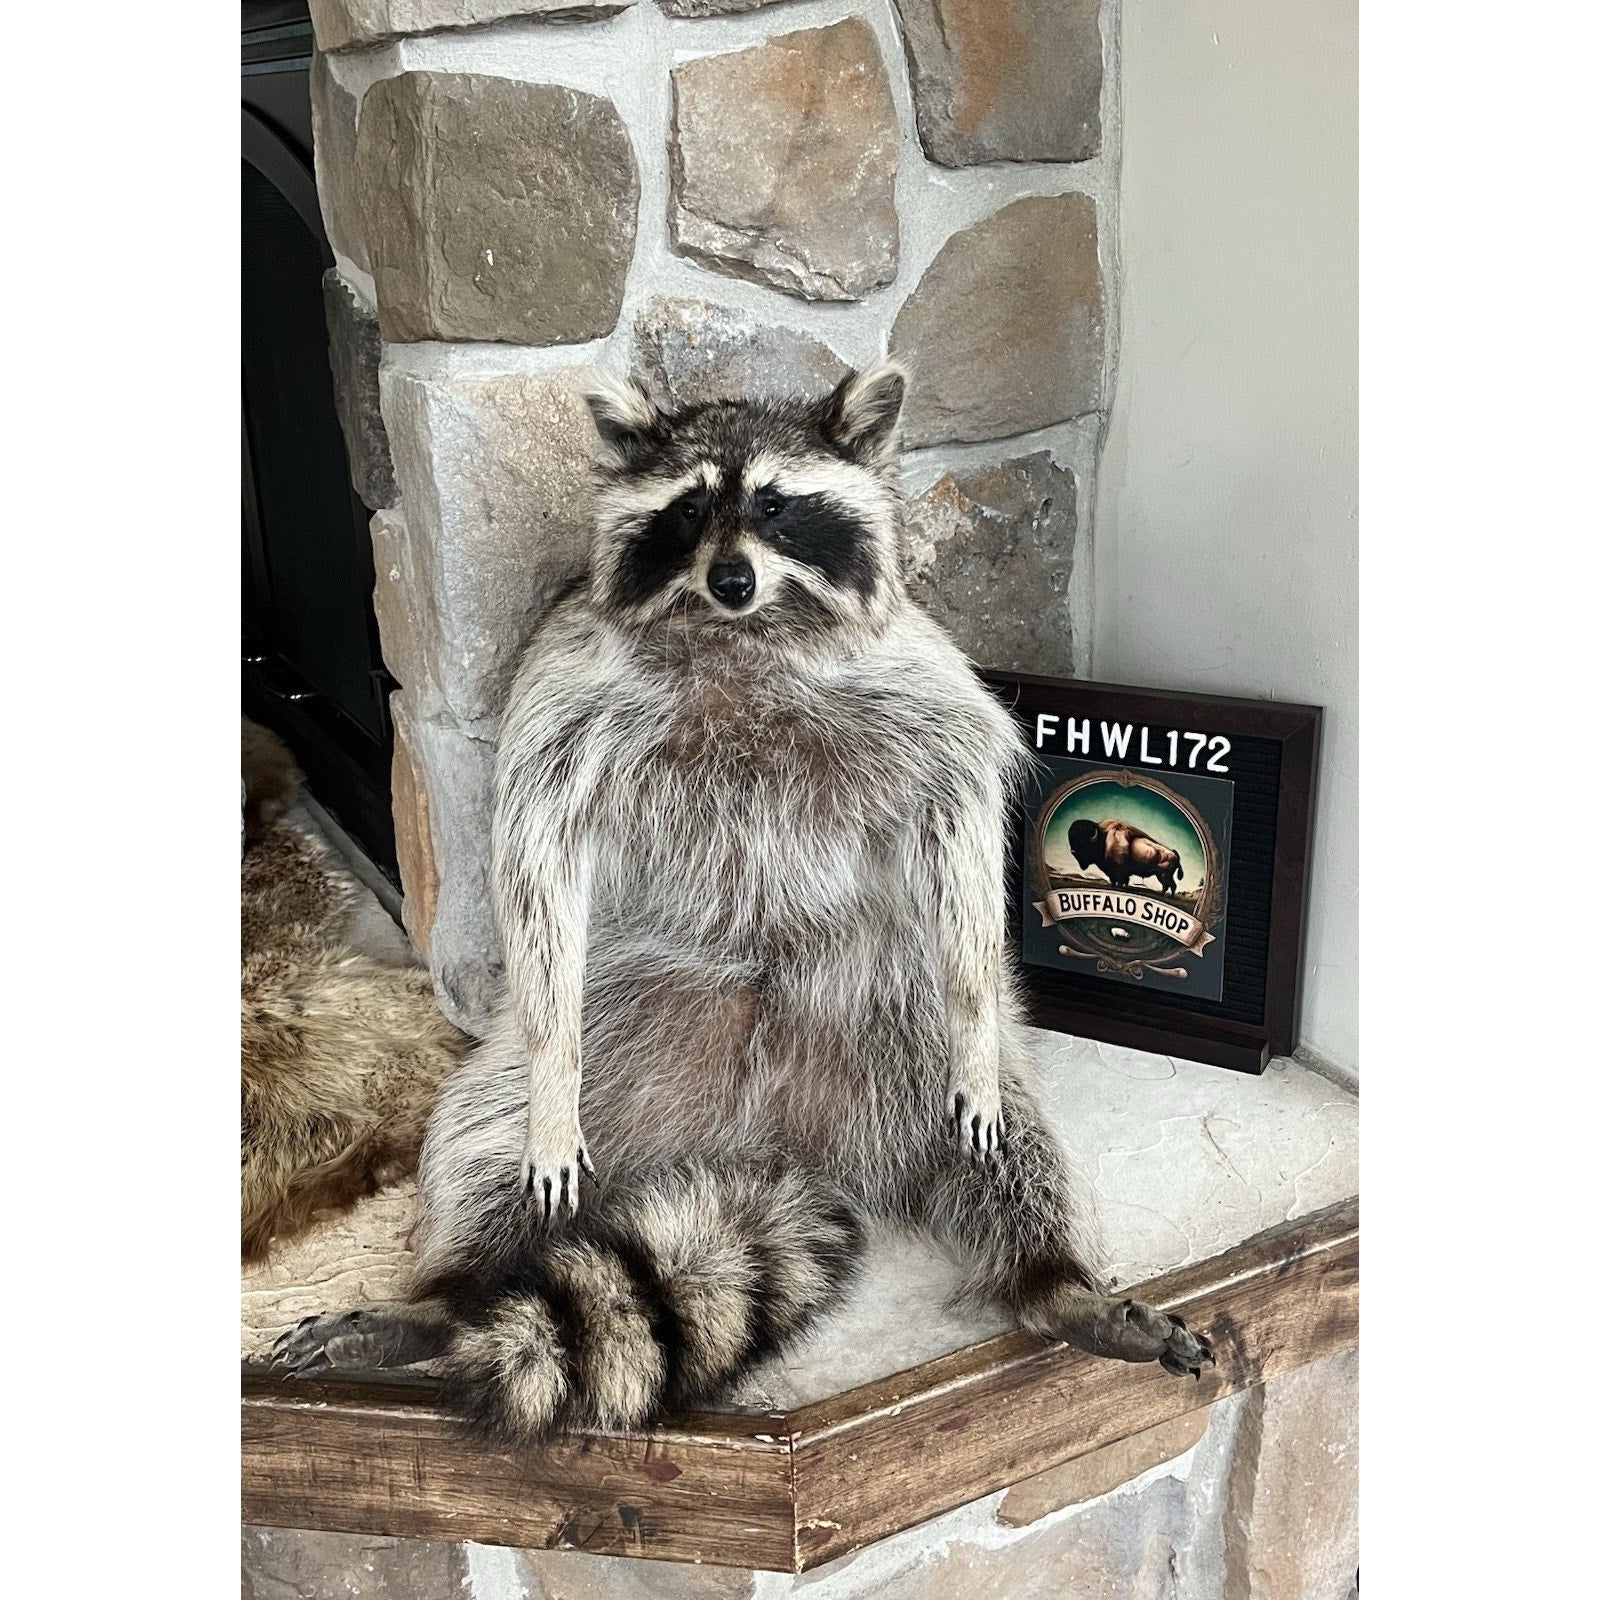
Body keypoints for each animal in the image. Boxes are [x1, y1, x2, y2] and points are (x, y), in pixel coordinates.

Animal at [273, 365, 1214, 1434]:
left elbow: (962, 837)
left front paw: (982, 1003)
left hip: (899, 1021)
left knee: (1008, 1139)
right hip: (621, 1028)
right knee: (483, 1136)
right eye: (688, 510)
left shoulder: (916, 680)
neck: (745, 631)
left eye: (774, 504)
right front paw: (546, 1077)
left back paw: (1053, 1278)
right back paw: (442, 1299)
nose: (732, 578)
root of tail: (773, 1142)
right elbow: (540, 866)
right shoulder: (566, 691)